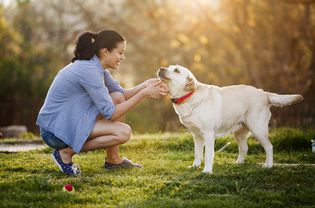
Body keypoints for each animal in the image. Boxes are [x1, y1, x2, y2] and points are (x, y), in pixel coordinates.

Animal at [158, 66, 304, 173]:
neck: (189, 97)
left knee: (269, 147)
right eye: (169, 67)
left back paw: (268, 165)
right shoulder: (197, 135)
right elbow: (197, 153)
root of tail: (264, 93)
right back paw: (238, 163)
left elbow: (208, 154)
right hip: (239, 132)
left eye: (176, 70)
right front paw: (195, 166)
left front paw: (207, 171)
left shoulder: (208, 134)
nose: (161, 68)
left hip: (257, 128)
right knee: (244, 148)